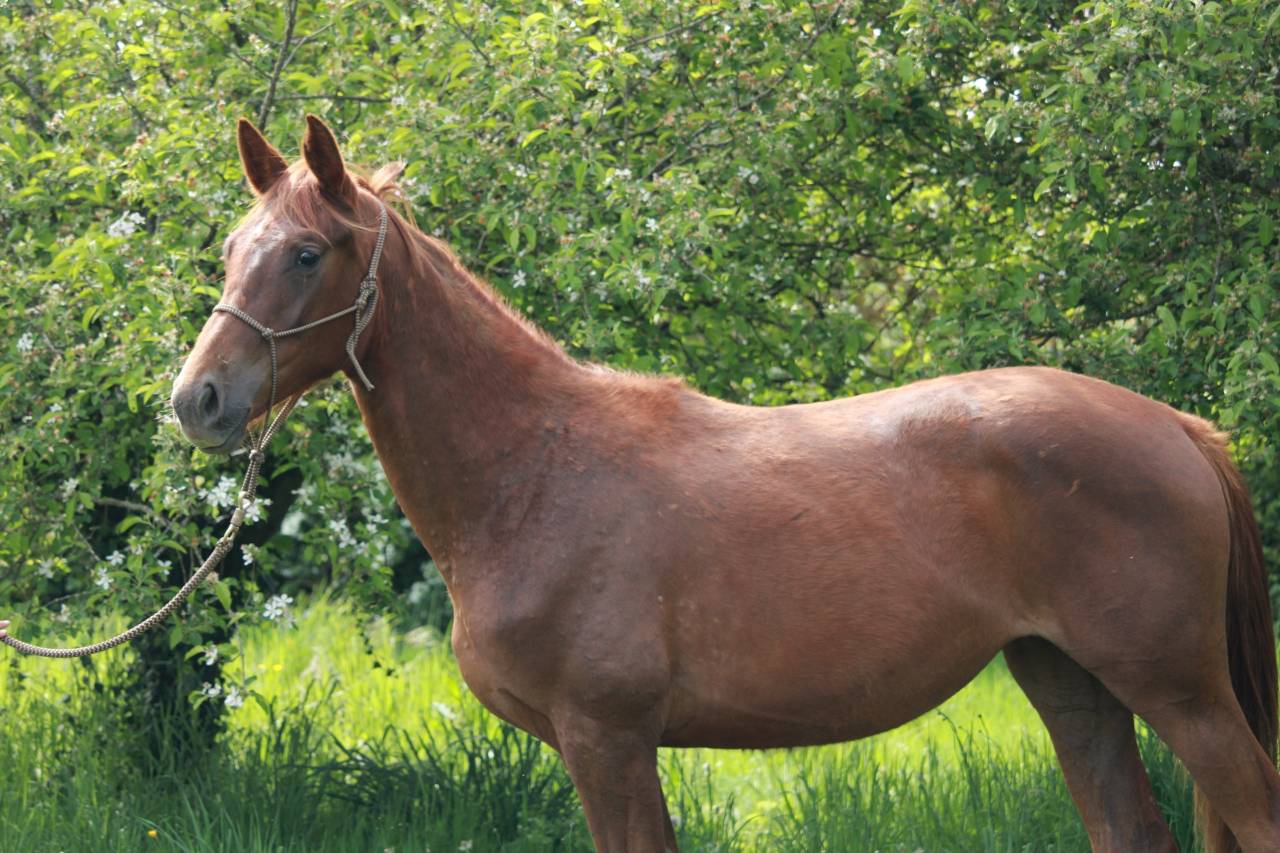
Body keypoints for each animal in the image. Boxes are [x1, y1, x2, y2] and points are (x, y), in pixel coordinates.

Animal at [168, 116, 1279, 852]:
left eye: (307, 253)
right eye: (229, 249)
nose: (198, 400)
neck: (533, 474)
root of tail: (1178, 428)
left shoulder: (608, 739)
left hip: (1178, 690)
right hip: (1072, 683)